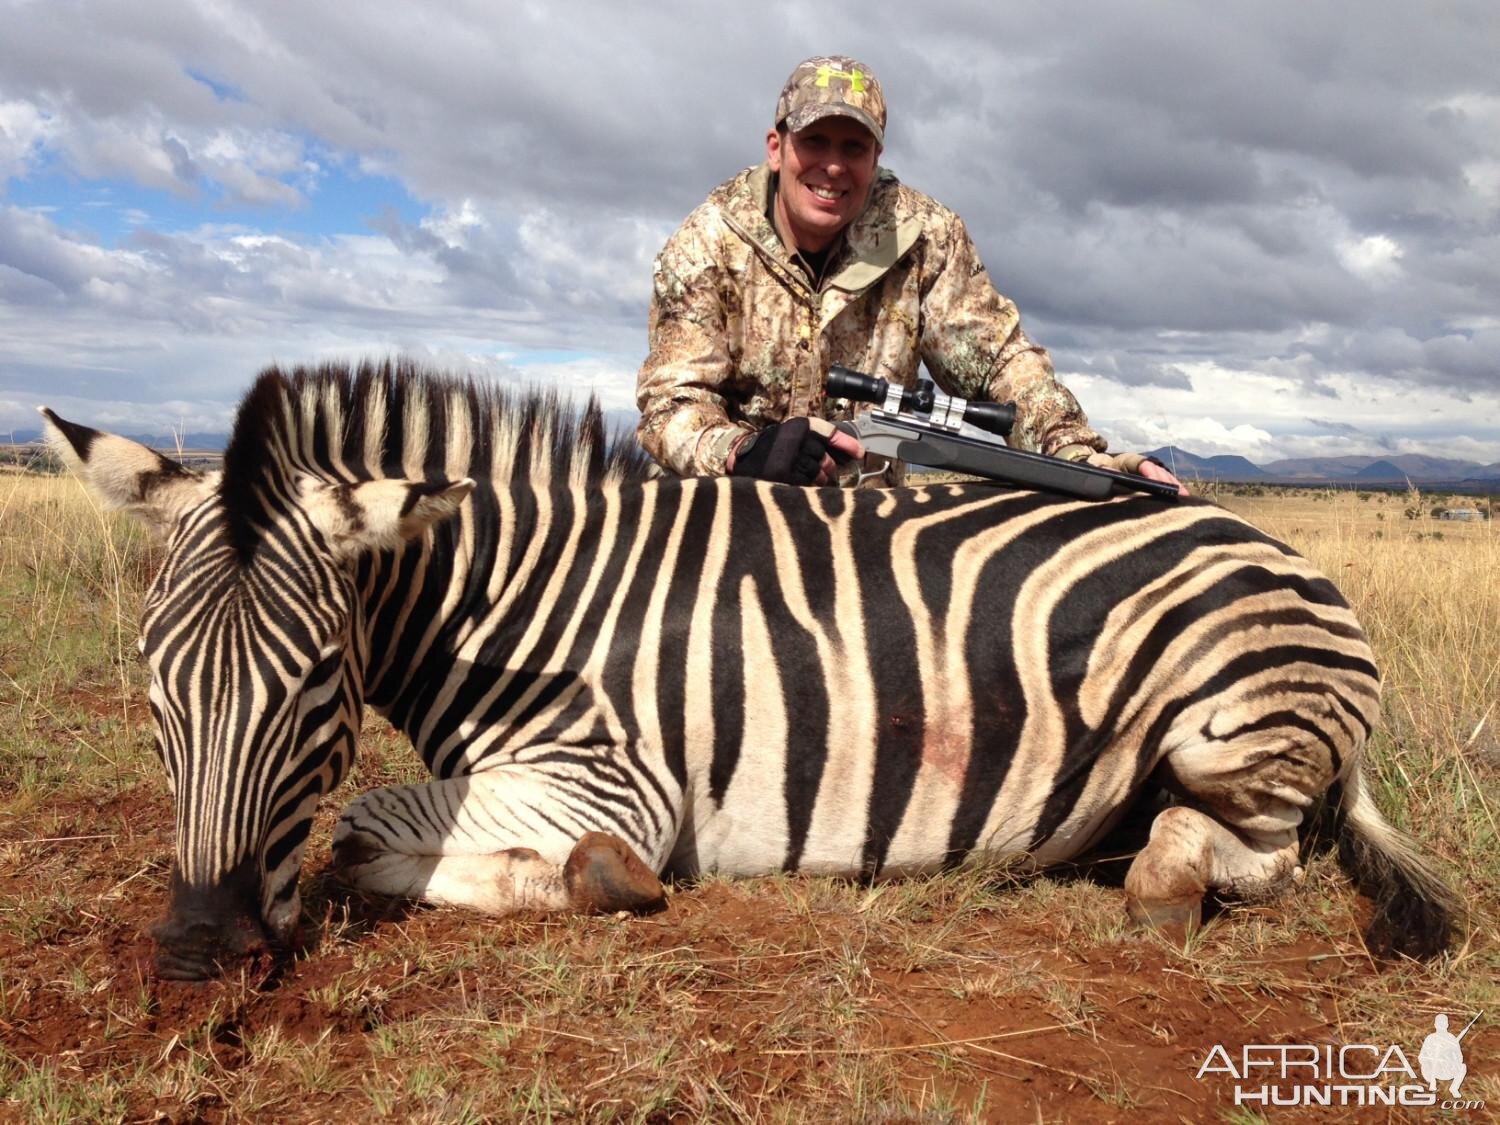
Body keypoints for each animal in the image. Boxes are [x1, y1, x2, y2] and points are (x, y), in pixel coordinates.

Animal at [41, 358, 1458, 978]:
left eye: (315, 690)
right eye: (154, 695)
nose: (198, 953)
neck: (519, 595)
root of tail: (1282, 549)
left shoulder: (615, 779)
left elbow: (361, 826)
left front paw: (589, 879)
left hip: (1231, 733)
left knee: (1255, 857)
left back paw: (1158, 879)